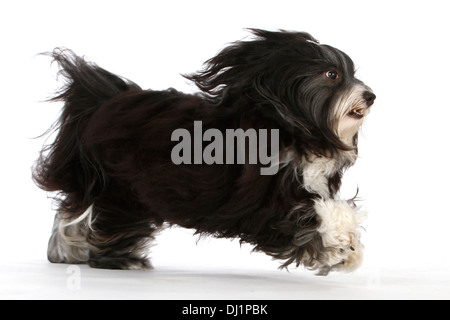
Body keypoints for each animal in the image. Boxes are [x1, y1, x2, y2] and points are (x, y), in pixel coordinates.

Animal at [33, 29, 374, 276]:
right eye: (332, 74)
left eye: (353, 73)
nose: (370, 95)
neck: (290, 126)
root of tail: (104, 101)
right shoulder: (265, 206)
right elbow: (313, 217)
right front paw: (343, 248)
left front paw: (349, 252)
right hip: (123, 188)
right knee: (105, 217)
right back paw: (120, 259)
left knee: (73, 208)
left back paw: (67, 252)